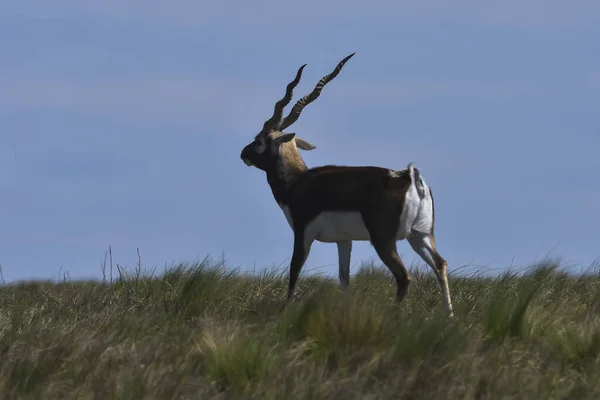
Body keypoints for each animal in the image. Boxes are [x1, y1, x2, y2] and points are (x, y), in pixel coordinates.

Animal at [239, 54, 454, 316]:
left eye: (259, 140)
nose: (243, 153)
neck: (297, 181)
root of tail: (411, 180)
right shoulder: (344, 240)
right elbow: (344, 279)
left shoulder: (302, 233)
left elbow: (293, 271)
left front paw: (284, 311)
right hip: (419, 235)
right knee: (440, 265)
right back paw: (449, 315)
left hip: (384, 240)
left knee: (404, 277)